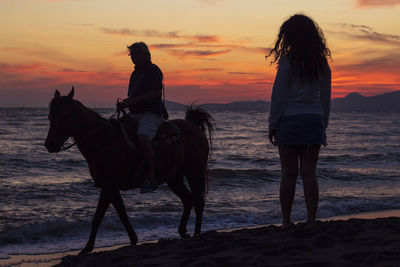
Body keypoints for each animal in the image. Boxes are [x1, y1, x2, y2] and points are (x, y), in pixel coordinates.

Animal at [44, 88, 216, 255]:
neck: (104, 141)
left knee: (198, 202)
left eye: (65, 116)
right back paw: (183, 231)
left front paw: (87, 248)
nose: (49, 145)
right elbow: (122, 214)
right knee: (188, 199)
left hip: (194, 172)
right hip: (175, 178)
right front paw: (133, 239)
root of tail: (193, 126)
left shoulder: (108, 187)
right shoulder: (111, 188)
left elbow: (98, 217)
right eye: (50, 116)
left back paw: (197, 233)